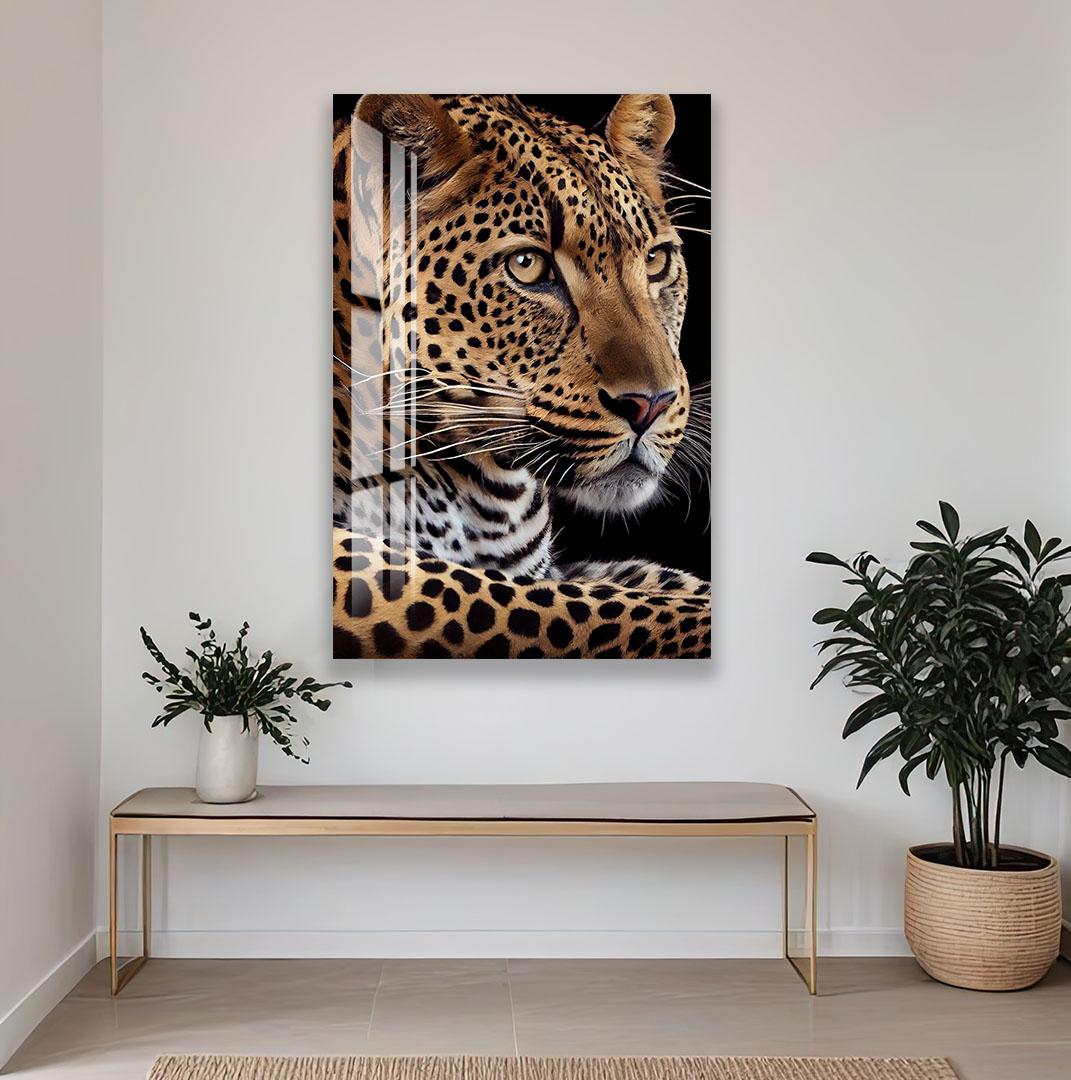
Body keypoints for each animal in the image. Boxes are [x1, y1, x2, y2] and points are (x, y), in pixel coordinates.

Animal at [332, 94, 710, 659]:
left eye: (656, 261)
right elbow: (597, 610)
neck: (490, 494)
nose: (654, 404)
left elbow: (657, 583)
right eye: (528, 266)